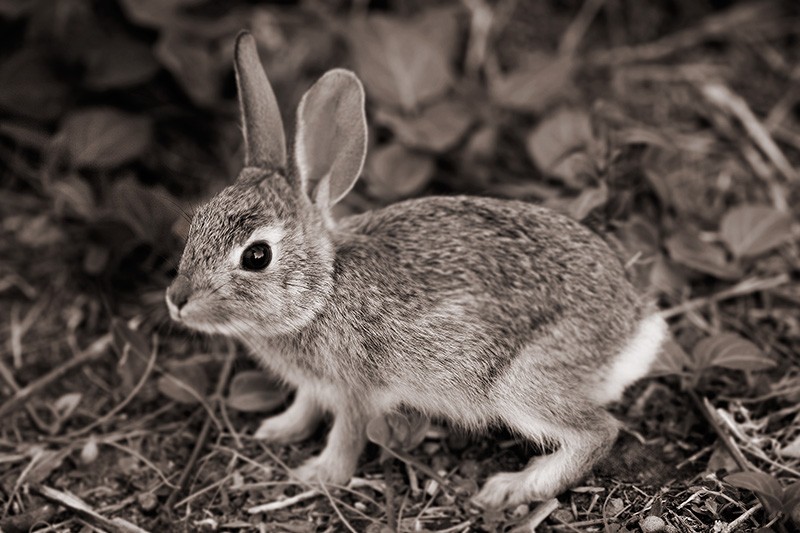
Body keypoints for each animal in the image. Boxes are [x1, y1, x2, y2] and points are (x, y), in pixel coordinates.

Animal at [165, 31, 668, 509]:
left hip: (522, 382)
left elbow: (346, 436)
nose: (177, 300)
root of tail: (633, 329)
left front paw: (319, 475)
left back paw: (512, 488)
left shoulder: (357, 389)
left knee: (598, 432)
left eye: (257, 256)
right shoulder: (315, 385)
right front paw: (278, 429)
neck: (322, 292)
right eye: (199, 220)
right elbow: (306, 407)